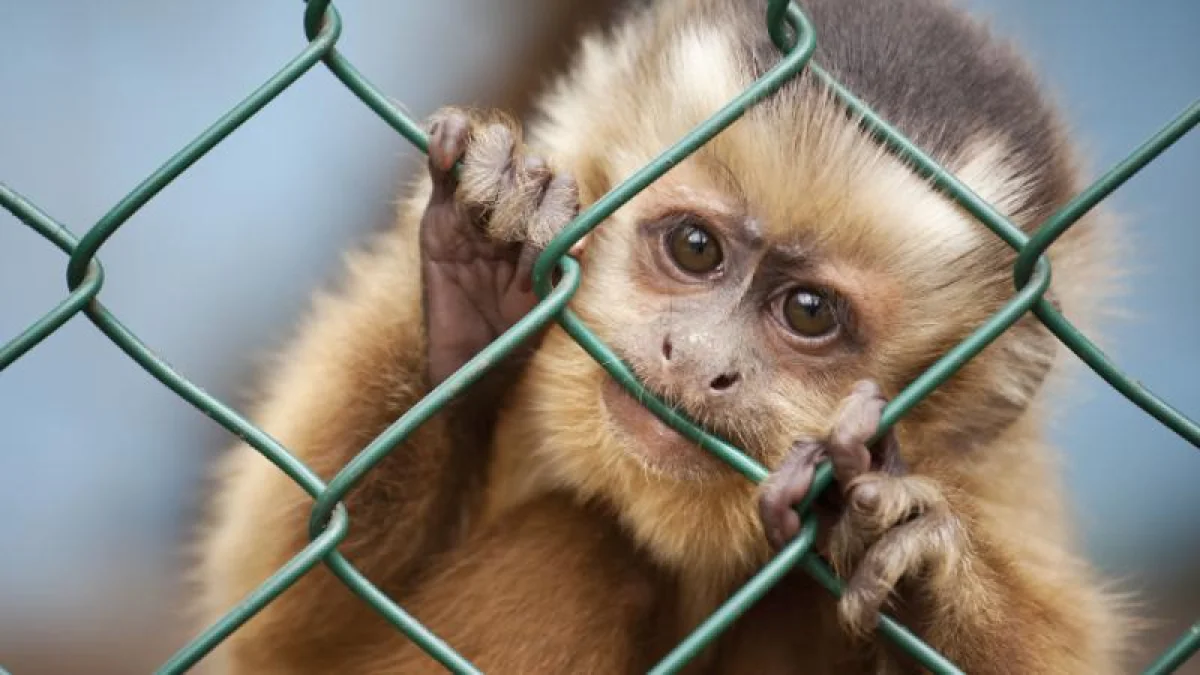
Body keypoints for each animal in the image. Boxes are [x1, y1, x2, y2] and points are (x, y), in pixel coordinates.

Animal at [192, 0, 1137, 667]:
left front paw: (922, 555)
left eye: (809, 313)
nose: (702, 361)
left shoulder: (994, 473)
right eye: (695, 248)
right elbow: (285, 630)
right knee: (582, 552)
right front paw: (471, 294)